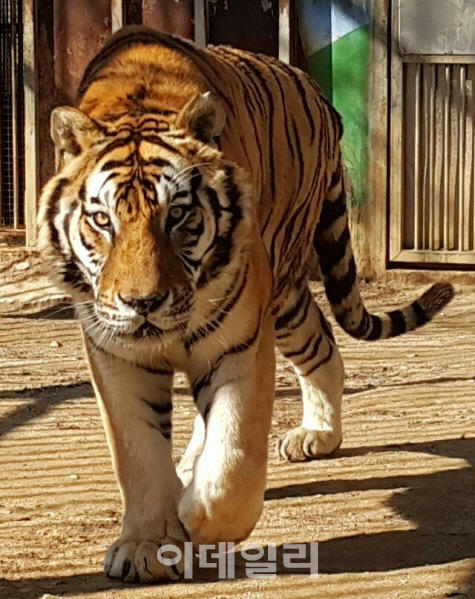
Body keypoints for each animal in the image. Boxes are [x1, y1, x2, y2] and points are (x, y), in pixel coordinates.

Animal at [36, 25, 454, 584]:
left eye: (177, 217)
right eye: (103, 221)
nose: (143, 302)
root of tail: (318, 93)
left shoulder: (238, 340)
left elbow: (232, 456)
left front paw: (198, 519)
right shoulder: (115, 353)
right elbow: (138, 453)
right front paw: (148, 543)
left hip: (279, 287)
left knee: (320, 348)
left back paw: (314, 436)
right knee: (318, 343)